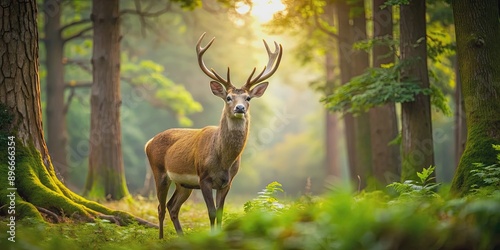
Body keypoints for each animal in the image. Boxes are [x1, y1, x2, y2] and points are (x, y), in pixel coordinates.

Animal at [146, 33, 282, 238]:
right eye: (228, 97)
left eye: (248, 98)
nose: (240, 108)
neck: (223, 160)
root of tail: (149, 142)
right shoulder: (204, 178)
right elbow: (210, 212)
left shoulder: (227, 182)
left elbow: (220, 213)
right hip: (159, 171)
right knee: (160, 207)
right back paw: (161, 238)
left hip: (183, 184)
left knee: (172, 207)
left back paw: (181, 237)